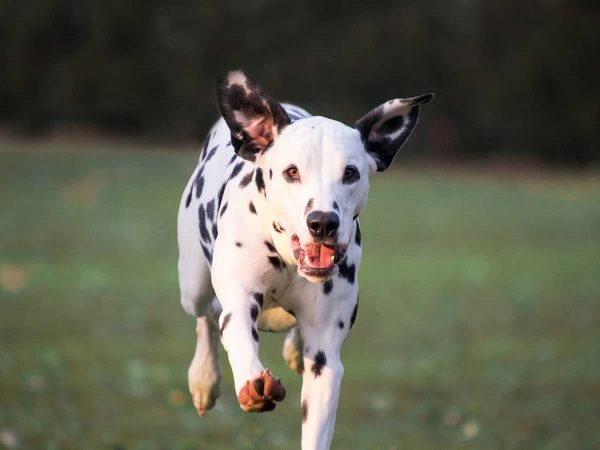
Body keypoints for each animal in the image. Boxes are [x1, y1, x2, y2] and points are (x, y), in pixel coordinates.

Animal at [176, 71, 434, 450]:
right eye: (291, 172)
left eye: (350, 173)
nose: (323, 222)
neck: (286, 257)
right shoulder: (238, 301)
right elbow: (236, 334)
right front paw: (250, 384)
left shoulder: (325, 361)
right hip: (192, 285)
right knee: (205, 315)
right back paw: (204, 378)